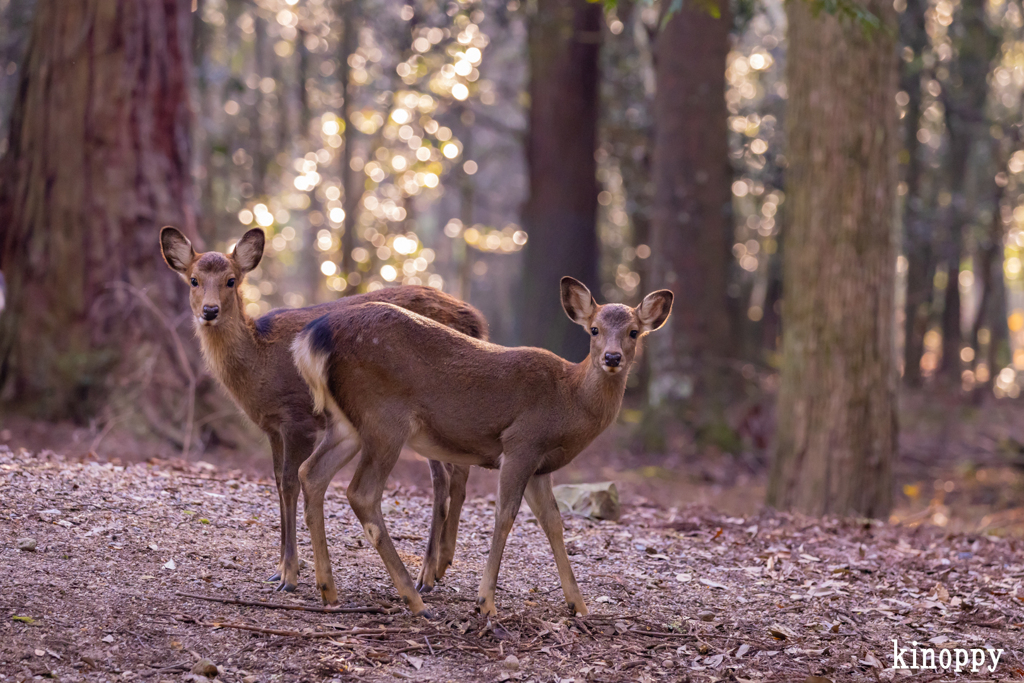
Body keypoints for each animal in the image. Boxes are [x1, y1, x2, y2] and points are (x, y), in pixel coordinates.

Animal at [158, 227, 483, 593]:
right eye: (194, 280)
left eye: (231, 280)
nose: (210, 311)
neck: (258, 365)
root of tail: (475, 320)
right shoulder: (272, 426)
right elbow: (277, 481)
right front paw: (279, 570)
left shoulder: (298, 418)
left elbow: (290, 484)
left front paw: (289, 574)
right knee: (457, 473)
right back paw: (440, 566)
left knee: (443, 480)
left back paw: (426, 574)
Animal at [290, 274, 671, 618]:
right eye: (593, 329)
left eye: (634, 332)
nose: (612, 358)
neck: (569, 400)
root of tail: (310, 338)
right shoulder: (521, 442)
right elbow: (504, 515)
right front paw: (485, 602)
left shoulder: (540, 466)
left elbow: (553, 522)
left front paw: (578, 605)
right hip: (384, 418)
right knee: (362, 493)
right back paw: (415, 599)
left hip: (346, 424)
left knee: (310, 472)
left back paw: (328, 589)